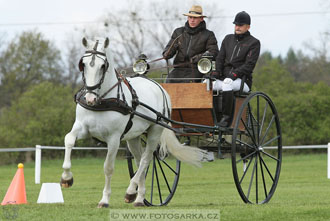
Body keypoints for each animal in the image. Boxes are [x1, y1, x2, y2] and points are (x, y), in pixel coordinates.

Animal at [60, 37, 206, 208]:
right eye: (83, 64)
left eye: (103, 66)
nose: (90, 98)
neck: (103, 100)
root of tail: (160, 88)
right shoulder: (82, 127)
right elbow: (69, 140)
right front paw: (66, 178)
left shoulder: (114, 139)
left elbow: (108, 168)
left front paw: (104, 200)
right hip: (133, 137)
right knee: (139, 160)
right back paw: (139, 198)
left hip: (155, 131)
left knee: (146, 159)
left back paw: (131, 192)